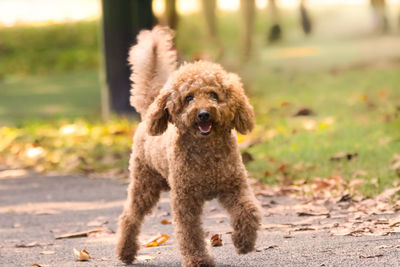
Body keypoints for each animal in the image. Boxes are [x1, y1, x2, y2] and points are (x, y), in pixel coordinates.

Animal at [115, 26, 260, 267]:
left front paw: (244, 242)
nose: (203, 114)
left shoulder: (234, 186)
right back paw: (125, 252)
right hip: (145, 183)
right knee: (130, 216)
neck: (207, 152)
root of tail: (148, 111)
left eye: (213, 95)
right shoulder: (185, 199)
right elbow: (189, 232)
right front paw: (198, 259)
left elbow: (248, 211)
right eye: (189, 98)